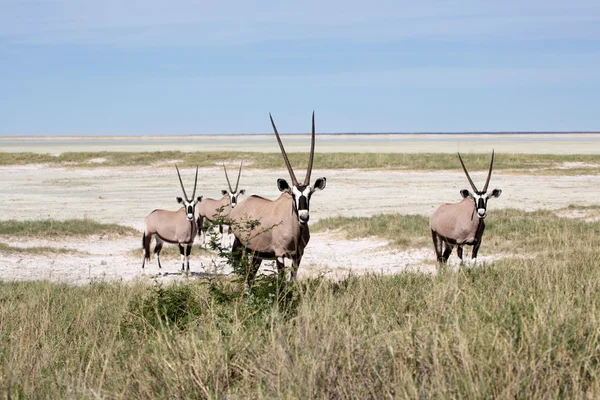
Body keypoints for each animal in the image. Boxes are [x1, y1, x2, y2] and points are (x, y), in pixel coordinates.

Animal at [229, 111, 324, 282]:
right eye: (293, 194)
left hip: (257, 254)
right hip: (242, 246)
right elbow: (281, 283)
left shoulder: (298, 256)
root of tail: (239, 207)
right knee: (243, 275)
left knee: (250, 277)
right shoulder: (280, 255)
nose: (304, 217)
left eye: (310, 194)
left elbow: (292, 282)